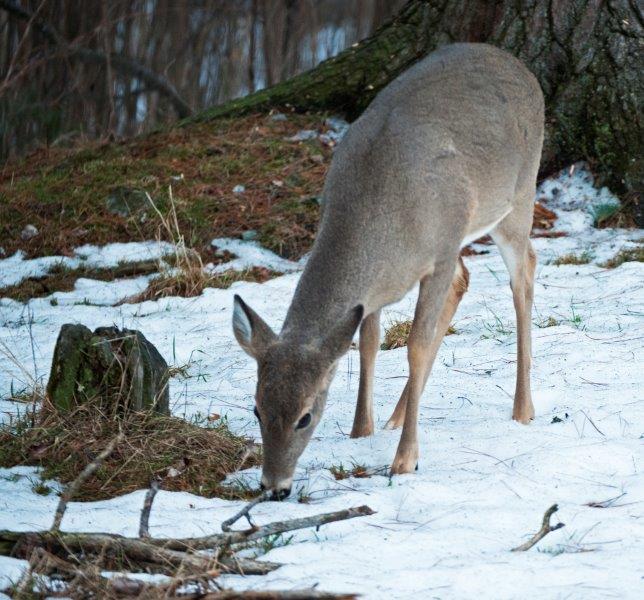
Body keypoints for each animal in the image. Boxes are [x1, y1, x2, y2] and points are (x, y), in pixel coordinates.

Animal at [232, 43, 544, 500]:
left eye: (305, 416)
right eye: (256, 408)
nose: (274, 487)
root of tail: (515, 61)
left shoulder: (441, 247)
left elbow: (415, 345)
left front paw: (405, 459)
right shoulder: (377, 288)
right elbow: (368, 342)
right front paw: (362, 430)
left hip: (517, 196)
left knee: (524, 271)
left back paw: (523, 409)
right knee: (466, 278)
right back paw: (397, 414)